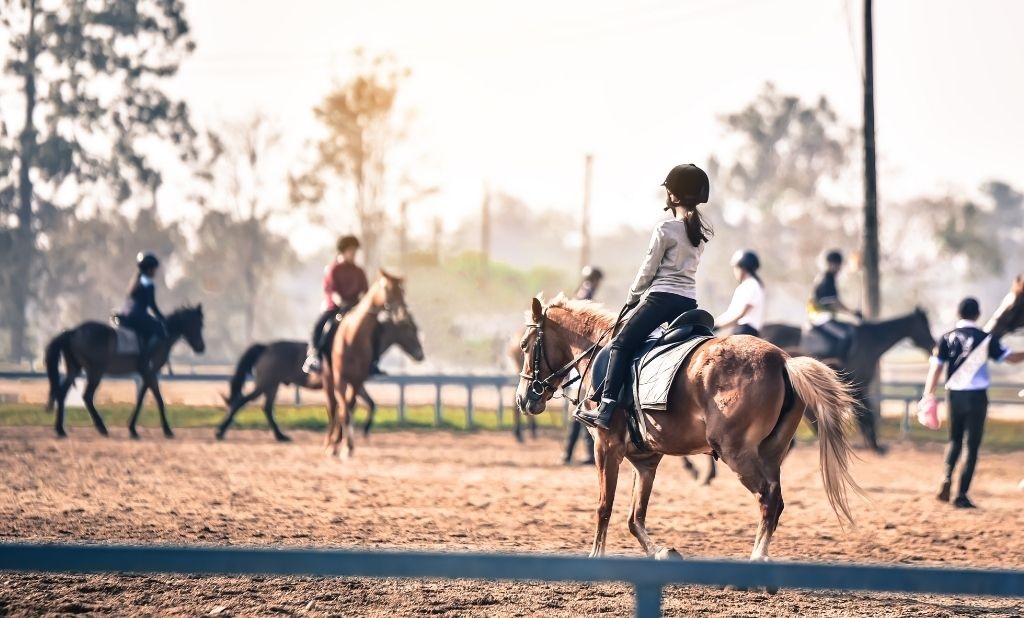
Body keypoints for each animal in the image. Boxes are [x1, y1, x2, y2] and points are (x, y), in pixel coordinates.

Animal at [44, 305, 206, 439]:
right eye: (196, 324)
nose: (201, 348)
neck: (162, 335)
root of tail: (73, 331)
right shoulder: (149, 372)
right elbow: (158, 399)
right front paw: (167, 430)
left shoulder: (147, 374)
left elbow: (140, 399)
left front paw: (132, 429)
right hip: (95, 371)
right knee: (87, 396)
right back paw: (102, 428)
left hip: (75, 369)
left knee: (62, 394)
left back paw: (61, 430)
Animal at [215, 312, 425, 442]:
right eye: (409, 331)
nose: (420, 355)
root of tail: (266, 347)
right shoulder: (350, 383)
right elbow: (354, 406)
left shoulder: (356, 384)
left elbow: (370, 404)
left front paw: (361, 431)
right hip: (265, 383)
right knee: (242, 401)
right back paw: (220, 431)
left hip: (272, 385)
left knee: (266, 408)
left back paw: (281, 436)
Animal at [324, 271, 410, 459]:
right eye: (387, 288)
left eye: (403, 291)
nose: (402, 314)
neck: (353, 338)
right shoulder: (340, 379)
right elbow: (343, 411)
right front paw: (341, 446)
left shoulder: (357, 381)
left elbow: (349, 408)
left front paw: (347, 445)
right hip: (328, 378)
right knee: (333, 407)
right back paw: (330, 443)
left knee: (343, 407)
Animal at [515, 295, 861, 561]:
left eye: (524, 346)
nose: (523, 398)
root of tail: (783, 360)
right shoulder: (646, 461)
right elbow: (634, 517)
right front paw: (661, 552)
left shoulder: (607, 447)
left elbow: (605, 506)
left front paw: (595, 556)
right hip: (770, 454)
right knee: (776, 501)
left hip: (737, 453)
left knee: (768, 498)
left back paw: (757, 559)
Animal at [762, 309, 935, 453]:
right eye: (925, 325)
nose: (934, 346)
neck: (870, 342)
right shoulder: (859, 385)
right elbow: (866, 413)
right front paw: (872, 444)